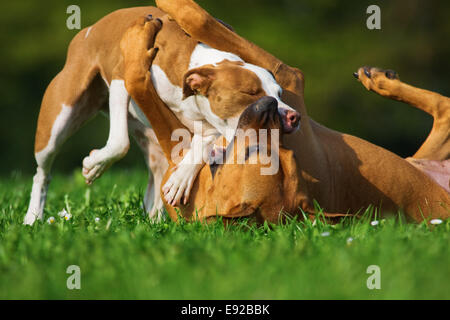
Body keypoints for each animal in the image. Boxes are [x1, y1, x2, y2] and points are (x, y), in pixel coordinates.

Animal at [120, 1, 450, 224]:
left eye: (254, 152)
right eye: (287, 160)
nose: (282, 115)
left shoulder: (287, 78)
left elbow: (144, 77)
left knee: (444, 106)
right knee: (444, 110)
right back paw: (379, 79)